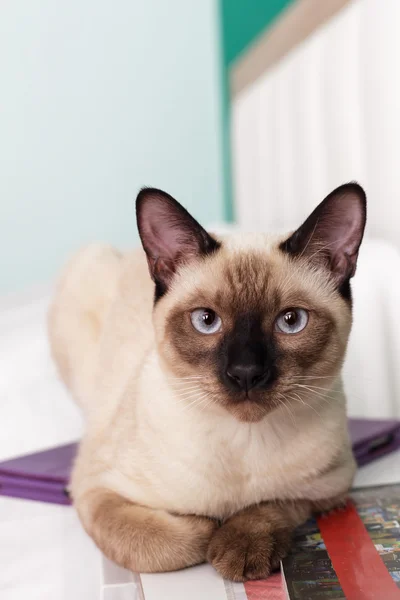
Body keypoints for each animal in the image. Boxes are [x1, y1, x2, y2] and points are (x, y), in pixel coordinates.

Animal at [49, 183, 366, 580]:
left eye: (291, 321)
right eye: (206, 320)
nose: (246, 372)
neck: (244, 441)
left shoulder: (329, 489)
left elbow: (269, 504)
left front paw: (240, 546)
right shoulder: (96, 489)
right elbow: (167, 543)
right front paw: (207, 527)